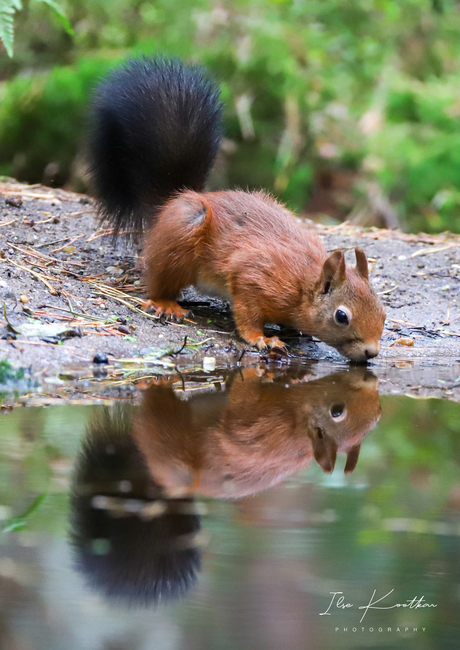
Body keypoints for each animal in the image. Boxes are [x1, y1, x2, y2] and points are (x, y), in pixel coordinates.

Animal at [87, 55, 384, 360]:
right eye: (341, 316)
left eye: (383, 311)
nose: (371, 352)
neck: (303, 285)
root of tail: (171, 203)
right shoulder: (253, 278)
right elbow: (247, 314)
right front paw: (263, 338)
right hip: (181, 238)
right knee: (160, 281)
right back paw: (166, 304)